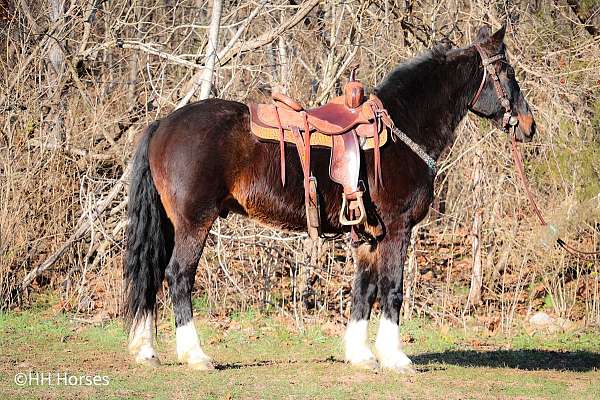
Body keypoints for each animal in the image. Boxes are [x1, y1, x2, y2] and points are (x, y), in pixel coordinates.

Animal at [124, 26, 536, 374]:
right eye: (506, 71)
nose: (529, 125)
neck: (400, 131)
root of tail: (164, 123)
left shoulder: (370, 236)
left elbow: (364, 290)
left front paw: (361, 355)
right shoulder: (397, 230)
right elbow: (393, 288)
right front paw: (395, 357)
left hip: (172, 224)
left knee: (151, 274)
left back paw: (146, 350)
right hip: (195, 224)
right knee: (178, 276)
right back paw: (195, 355)